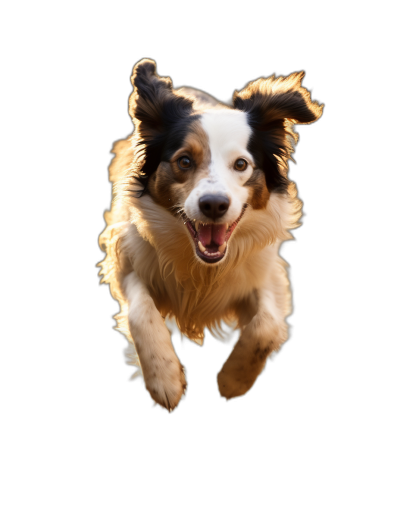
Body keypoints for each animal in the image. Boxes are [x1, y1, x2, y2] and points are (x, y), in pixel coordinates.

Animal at [98, 60, 324, 414]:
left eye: (241, 164)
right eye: (184, 161)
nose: (214, 205)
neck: (203, 268)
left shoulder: (263, 273)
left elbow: (268, 324)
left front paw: (233, 381)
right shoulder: (126, 255)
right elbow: (141, 312)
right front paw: (164, 380)